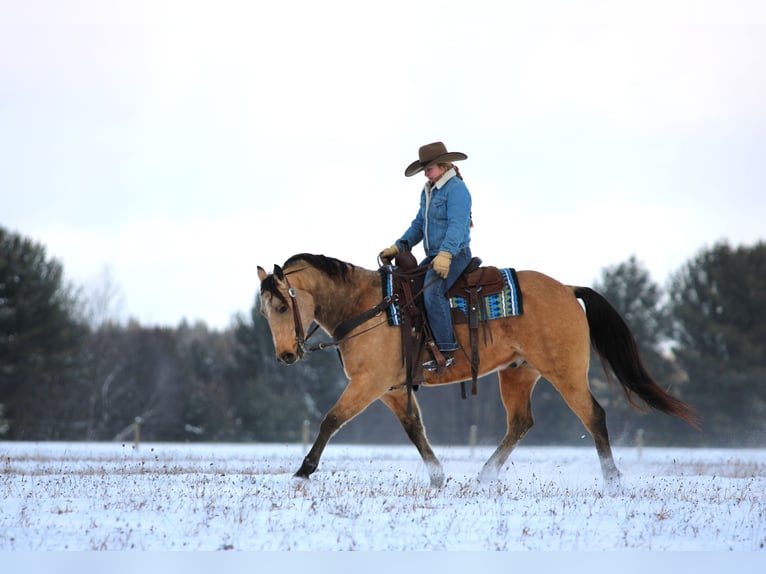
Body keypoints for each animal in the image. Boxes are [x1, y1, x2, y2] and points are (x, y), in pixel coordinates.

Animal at [257, 253, 699, 488]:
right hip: (518, 373)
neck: (368, 307)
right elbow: (415, 430)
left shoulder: (369, 384)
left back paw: (611, 478)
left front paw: (303, 470)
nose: (286, 356)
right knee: (520, 423)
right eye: (263, 311)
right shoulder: (394, 390)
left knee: (594, 416)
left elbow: (330, 420)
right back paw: (485, 475)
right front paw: (438, 476)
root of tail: (568, 289)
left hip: (566, 372)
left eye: (280, 305)